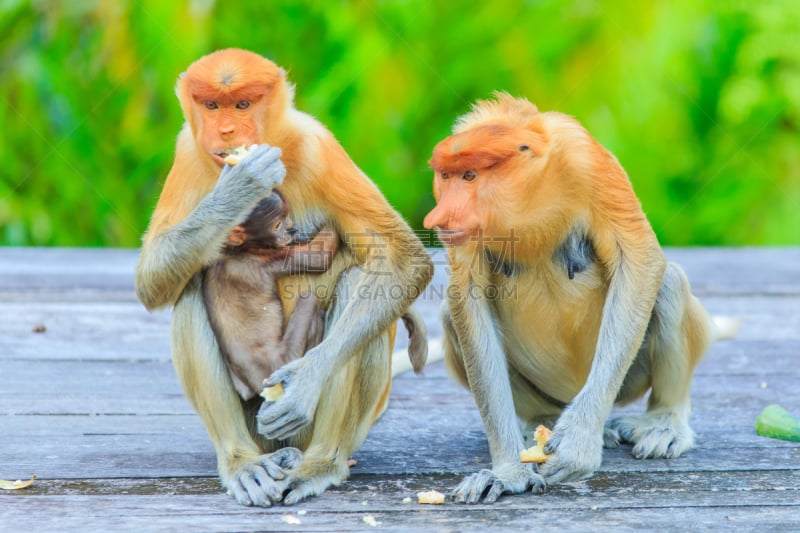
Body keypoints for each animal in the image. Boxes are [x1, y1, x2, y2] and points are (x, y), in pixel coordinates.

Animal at [203, 189, 338, 402]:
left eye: (287, 217)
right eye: (277, 225)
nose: (290, 229)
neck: (237, 249)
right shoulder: (268, 257)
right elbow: (319, 257)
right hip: (287, 356)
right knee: (309, 299)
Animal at [424, 92, 736, 502]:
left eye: (470, 176)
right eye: (445, 177)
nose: (438, 219)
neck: (529, 198)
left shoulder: (585, 159)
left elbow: (640, 260)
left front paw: (578, 445)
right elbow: (468, 302)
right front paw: (508, 472)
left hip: (628, 379)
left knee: (667, 283)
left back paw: (662, 423)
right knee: (452, 317)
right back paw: (539, 422)